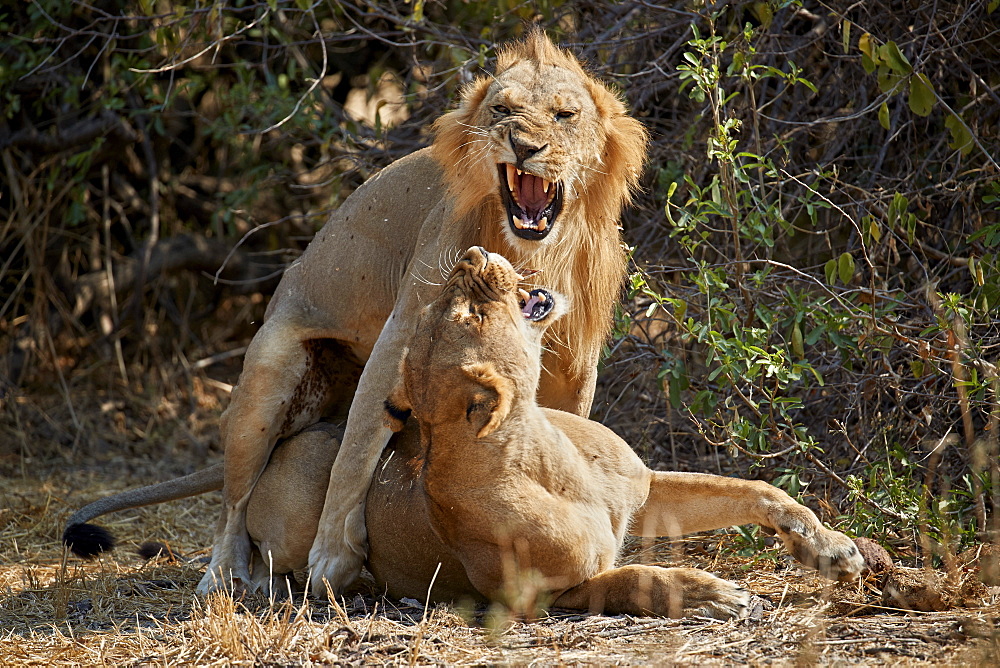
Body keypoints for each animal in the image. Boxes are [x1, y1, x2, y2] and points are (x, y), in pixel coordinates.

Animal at [64, 247, 860, 620]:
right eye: (467, 311)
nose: (476, 253)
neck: (543, 455)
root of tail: (302, 435)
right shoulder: (528, 598)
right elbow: (632, 579)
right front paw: (711, 595)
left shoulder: (645, 489)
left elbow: (756, 489)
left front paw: (833, 549)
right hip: (285, 498)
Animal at [196, 28, 648, 596]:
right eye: (503, 110)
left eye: (565, 115)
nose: (525, 146)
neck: (537, 252)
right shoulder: (407, 327)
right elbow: (356, 449)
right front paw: (333, 556)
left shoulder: (574, 357)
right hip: (265, 381)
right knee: (234, 503)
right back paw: (224, 574)